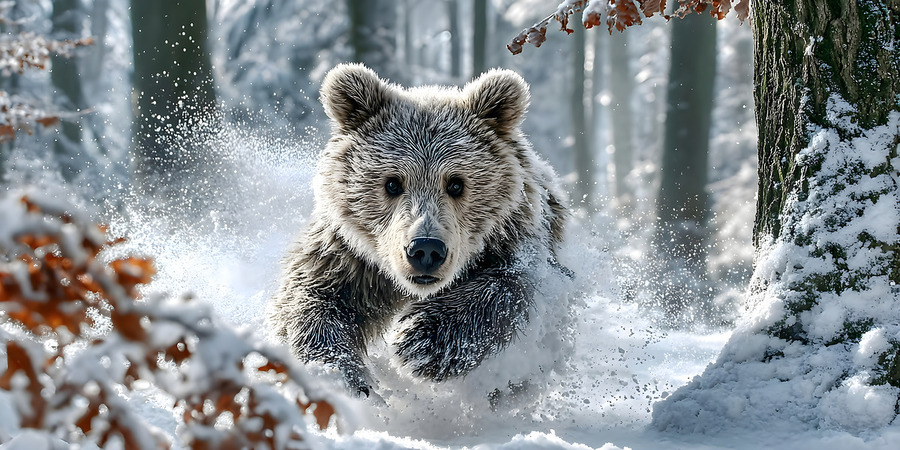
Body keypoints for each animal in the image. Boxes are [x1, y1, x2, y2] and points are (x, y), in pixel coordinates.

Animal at [268, 63, 568, 397]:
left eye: (456, 183)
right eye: (392, 183)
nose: (425, 249)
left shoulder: (514, 236)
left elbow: (511, 285)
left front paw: (421, 339)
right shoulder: (349, 255)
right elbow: (309, 297)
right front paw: (337, 376)